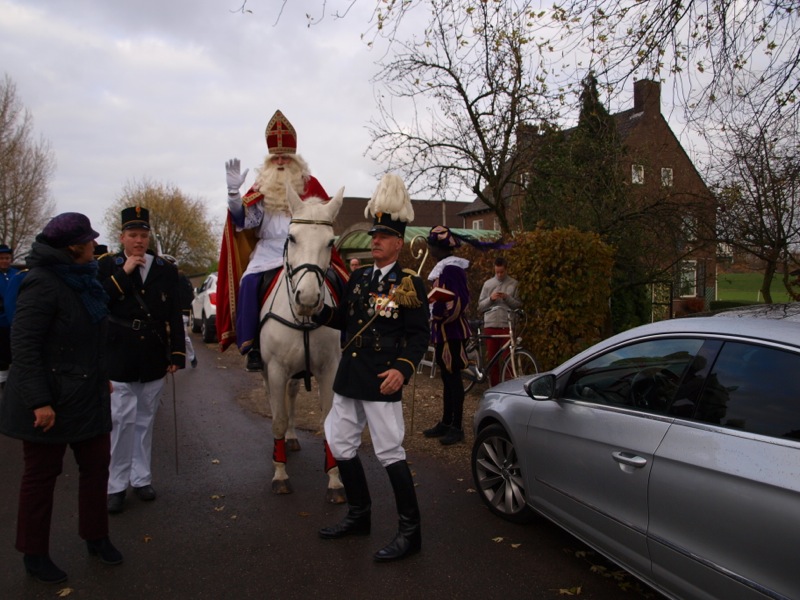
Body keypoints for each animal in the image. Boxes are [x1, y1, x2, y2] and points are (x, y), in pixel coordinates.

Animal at [256, 185, 344, 504]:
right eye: (291, 237)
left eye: (330, 242)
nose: (307, 299)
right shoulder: (276, 369)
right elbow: (278, 419)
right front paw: (280, 475)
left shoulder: (329, 370)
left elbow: (328, 420)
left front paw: (335, 481)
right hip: (268, 371)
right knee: (275, 404)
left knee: (292, 395)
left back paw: (292, 438)